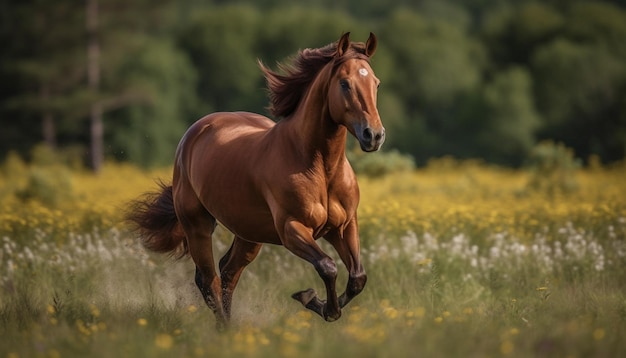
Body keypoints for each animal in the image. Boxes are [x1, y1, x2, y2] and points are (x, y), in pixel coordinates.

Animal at [127, 32, 382, 328]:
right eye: (344, 83)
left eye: (375, 83)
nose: (374, 135)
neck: (320, 167)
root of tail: (196, 132)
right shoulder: (292, 229)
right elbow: (327, 267)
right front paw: (311, 299)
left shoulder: (344, 227)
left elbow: (357, 278)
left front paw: (317, 302)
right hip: (197, 225)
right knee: (209, 279)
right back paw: (224, 328)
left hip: (249, 234)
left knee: (228, 272)